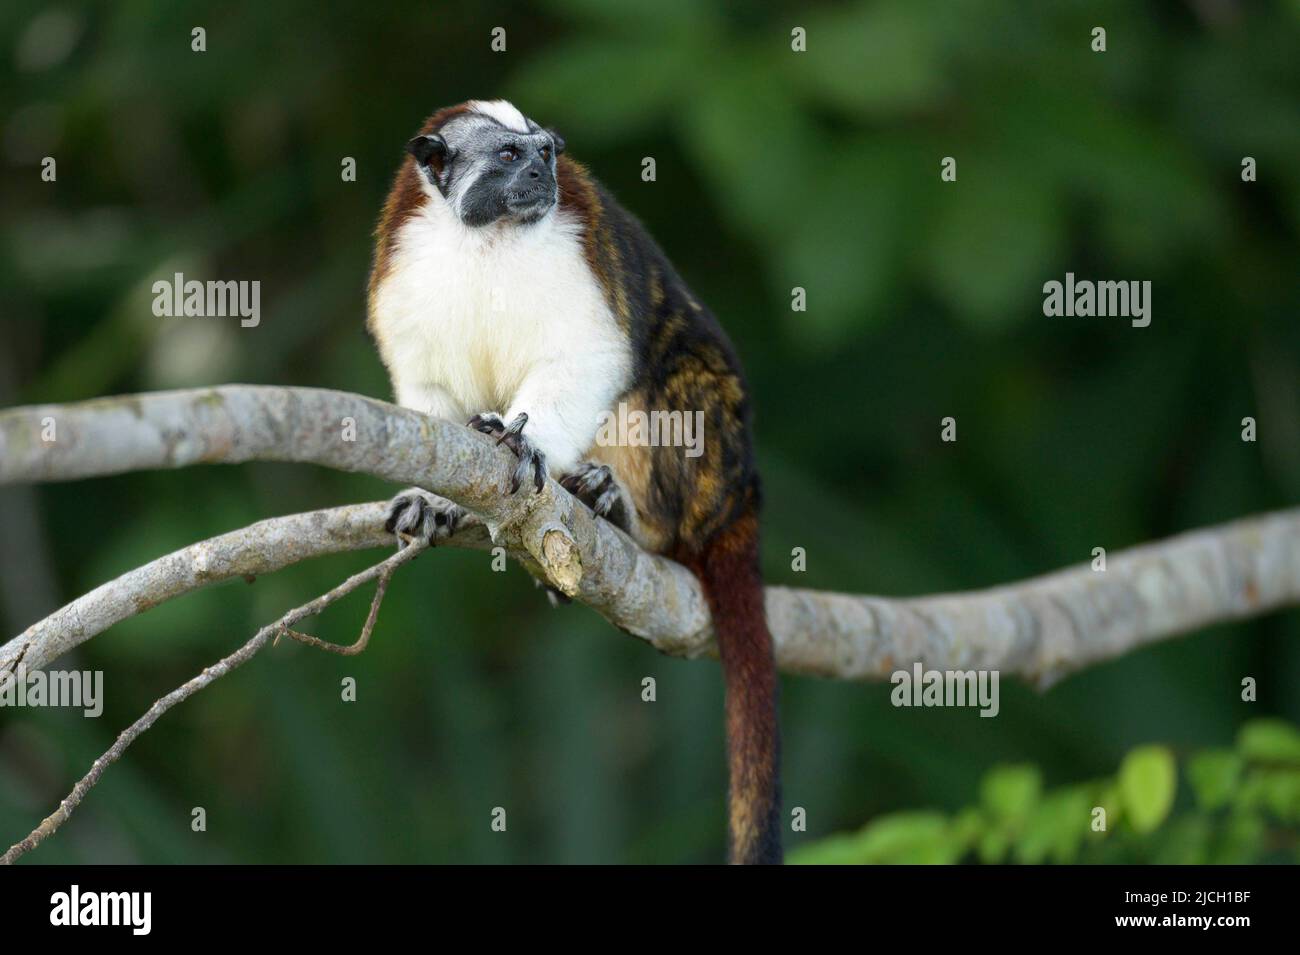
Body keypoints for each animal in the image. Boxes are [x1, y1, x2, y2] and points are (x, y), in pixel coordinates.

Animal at [366, 100, 780, 864]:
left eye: (548, 152)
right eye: (509, 156)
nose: (542, 173)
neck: (486, 241)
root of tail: (743, 490)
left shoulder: (576, 256)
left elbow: (591, 356)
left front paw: (528, 440)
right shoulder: (405, 271)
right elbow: (429, 394)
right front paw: (436, 497)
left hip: (709, 465)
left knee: (665, 385)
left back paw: (621, 513)